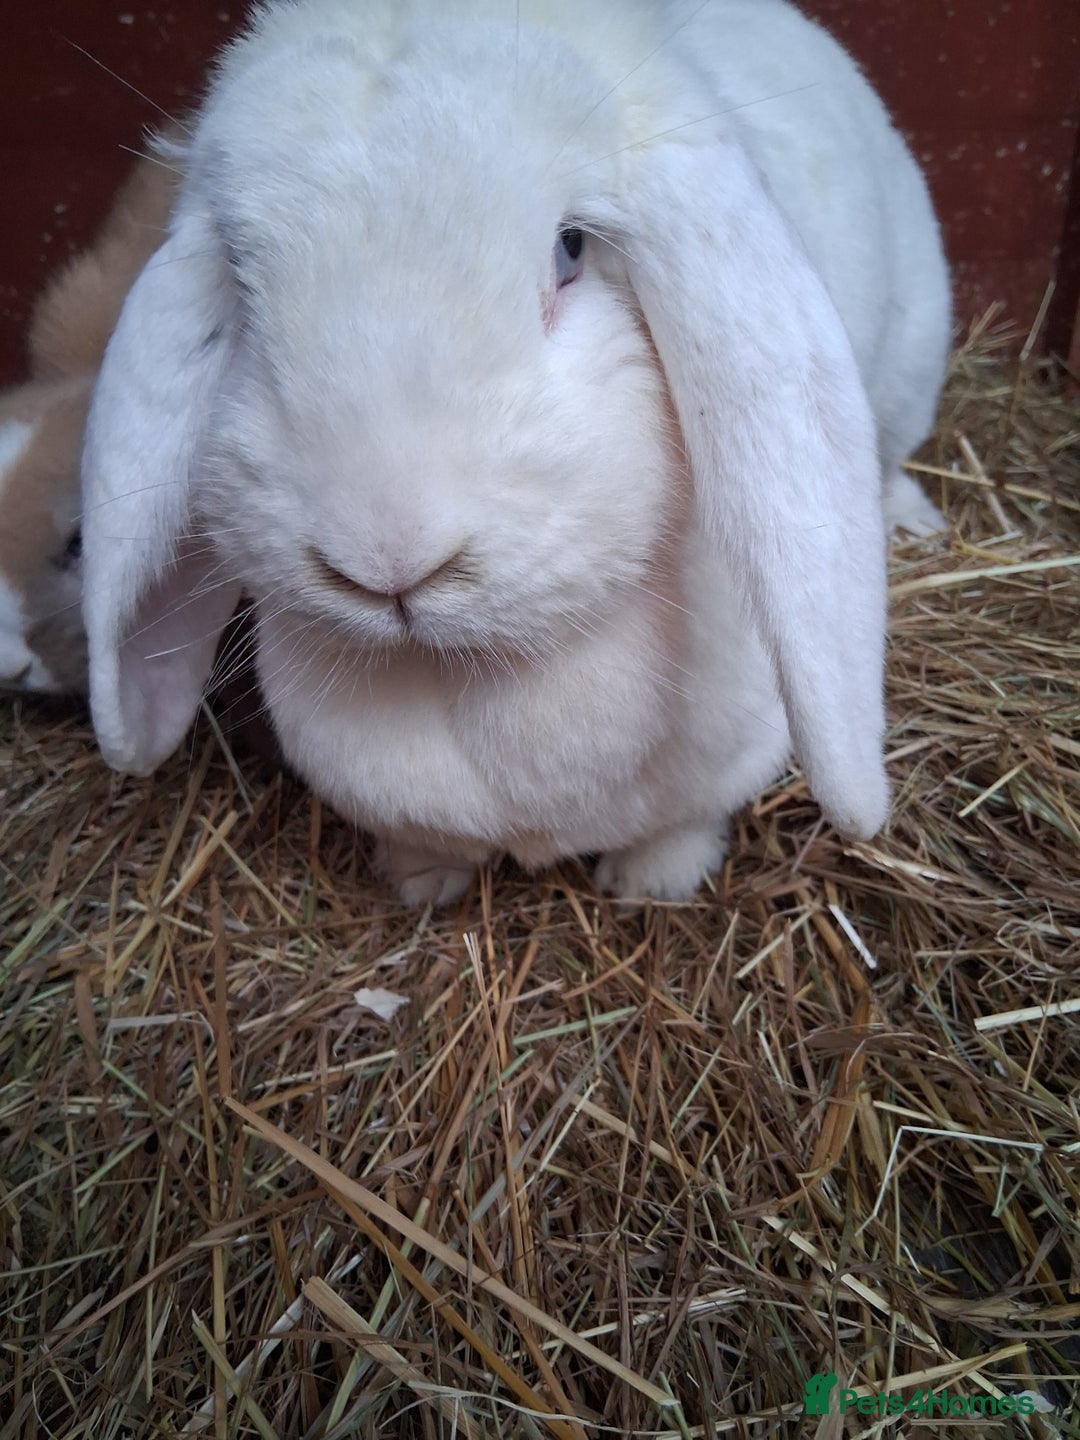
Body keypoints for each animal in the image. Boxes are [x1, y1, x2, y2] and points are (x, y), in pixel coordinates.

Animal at [81, 0, 952, 903]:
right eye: (242, 288)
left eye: (571, 249)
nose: (389, 560)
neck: (478, 673)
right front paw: (422, 887)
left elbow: (680, 827)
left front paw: (651, 884)